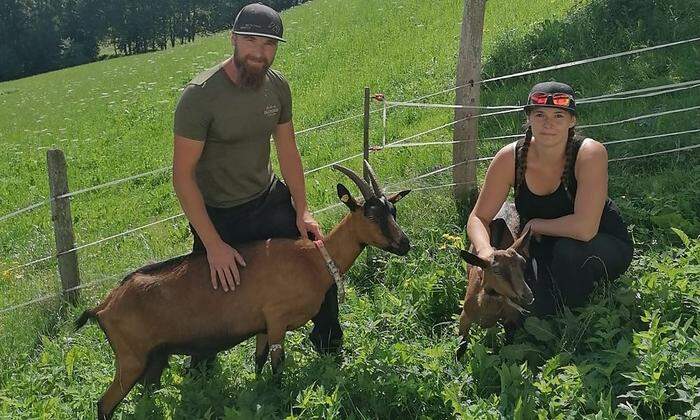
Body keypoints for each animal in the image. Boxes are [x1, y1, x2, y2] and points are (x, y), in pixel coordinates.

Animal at [76, 162, 412, 420]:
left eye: (394, 211)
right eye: (370, 214)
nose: (404, 244)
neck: (313, 259)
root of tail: (102, 307)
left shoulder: (262, 325)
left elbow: (259, 362)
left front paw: (259, 395)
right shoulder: (276, 320)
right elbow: (277, 366)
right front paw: (279, 400)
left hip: (154, 358)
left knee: (145, 396)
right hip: (131, 358)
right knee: (103, 405)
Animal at [456, 202, 532, 360]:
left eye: (523, 264)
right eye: (496, 271)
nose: (528, 296)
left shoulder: (512, 318)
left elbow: (508, 347)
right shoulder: (464, 317)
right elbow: (461, 347)